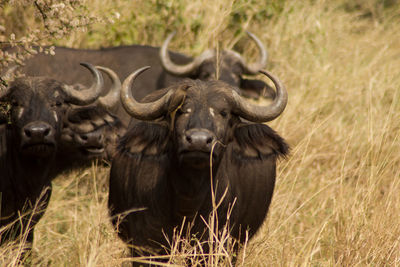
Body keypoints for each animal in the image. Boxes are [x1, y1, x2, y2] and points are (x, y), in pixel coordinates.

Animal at [108, 67, 290, 266]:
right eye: (181, 111)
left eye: (223, 113)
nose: (199, 141)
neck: (188, 200)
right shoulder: (145, 246)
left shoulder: (215, 244)